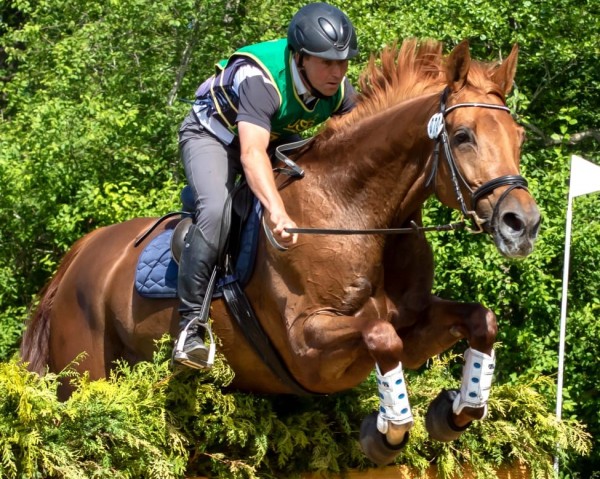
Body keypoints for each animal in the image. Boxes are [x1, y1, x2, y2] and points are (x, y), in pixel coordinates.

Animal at [21, 39, 540, 466]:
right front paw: (387, 431)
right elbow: (380, 337)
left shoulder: (413, 325)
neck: (355, 210)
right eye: (464, 136)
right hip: (83, 375)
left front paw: (457, 408)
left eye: (518, 137)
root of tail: (80, 255)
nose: (523, 224)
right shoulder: (308, 344)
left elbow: (480, 320)